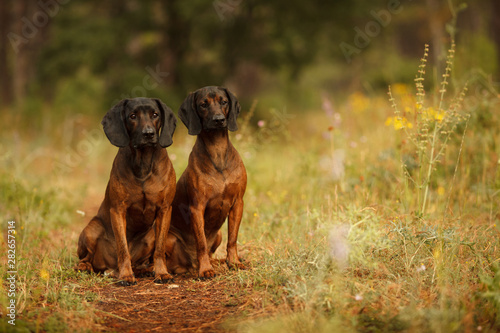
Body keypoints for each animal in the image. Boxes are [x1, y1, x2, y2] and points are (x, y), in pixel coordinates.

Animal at [74, 97, 176, 284]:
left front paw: (162, 273)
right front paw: (126, 275)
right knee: (86, 258)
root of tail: (110, 267)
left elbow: (159, 249)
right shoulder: (118, 210)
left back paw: (144, 270)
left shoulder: (165, 209)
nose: (149, 133)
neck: (143, 163)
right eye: (132, 116)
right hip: (91, 229)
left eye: (155, 114)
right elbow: (122, 248)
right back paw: (86, 267)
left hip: (150, 235)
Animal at [166, 85, 248, 278]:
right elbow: (201, 242)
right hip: (169, 239)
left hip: (218, 235)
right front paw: (205, 270)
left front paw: (234, 262)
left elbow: (232, 239)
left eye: (223, 102)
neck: (217, 149)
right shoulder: (197, 207)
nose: (218, 120)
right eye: (203, 104)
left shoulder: (238, 203)